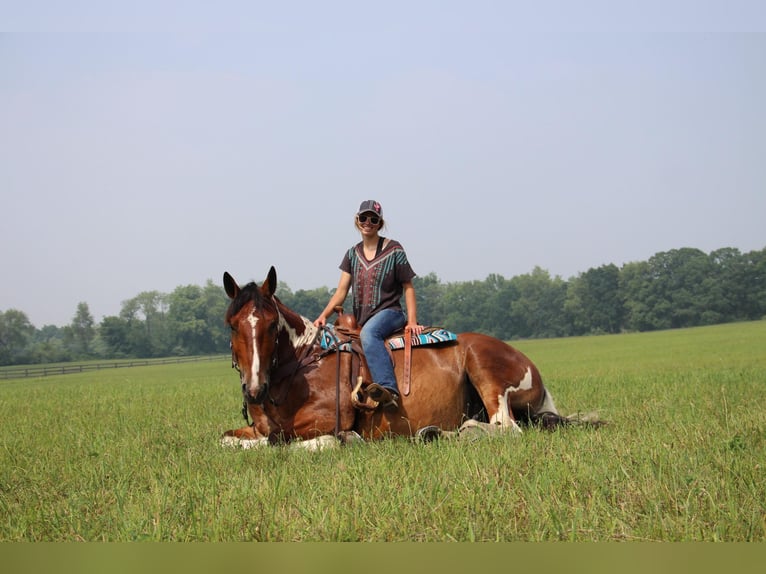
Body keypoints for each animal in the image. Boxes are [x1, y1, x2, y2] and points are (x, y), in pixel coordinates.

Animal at [219, 268, 572, 448]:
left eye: (270, 324)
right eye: (233, 324)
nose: (255, 389)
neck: (304, 366)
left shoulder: (327, 419)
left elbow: (287, 439)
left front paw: (348, 439)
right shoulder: (257, 427)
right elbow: (229, 439)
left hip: (485, 370)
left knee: (505, 427)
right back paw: (433, 432)